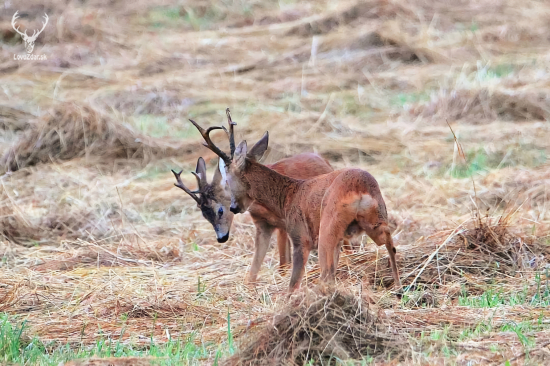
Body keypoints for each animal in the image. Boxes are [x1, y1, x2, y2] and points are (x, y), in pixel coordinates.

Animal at [172, 111, 336, 284]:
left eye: (220, 211)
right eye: (204, 215)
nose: (221, 238)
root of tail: (325, 161)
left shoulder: (285, 223)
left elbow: (283, 263)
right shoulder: (262, 225)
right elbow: (255, 268)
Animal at [192, 111, 404, 292]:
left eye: (227, 180)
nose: (234, 207)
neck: (287, 195)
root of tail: (359, 190)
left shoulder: (300, 237)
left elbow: (293, 282)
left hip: (328, 227)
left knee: (326, 273)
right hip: (374, 218)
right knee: (388, 242)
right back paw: (398, 286)